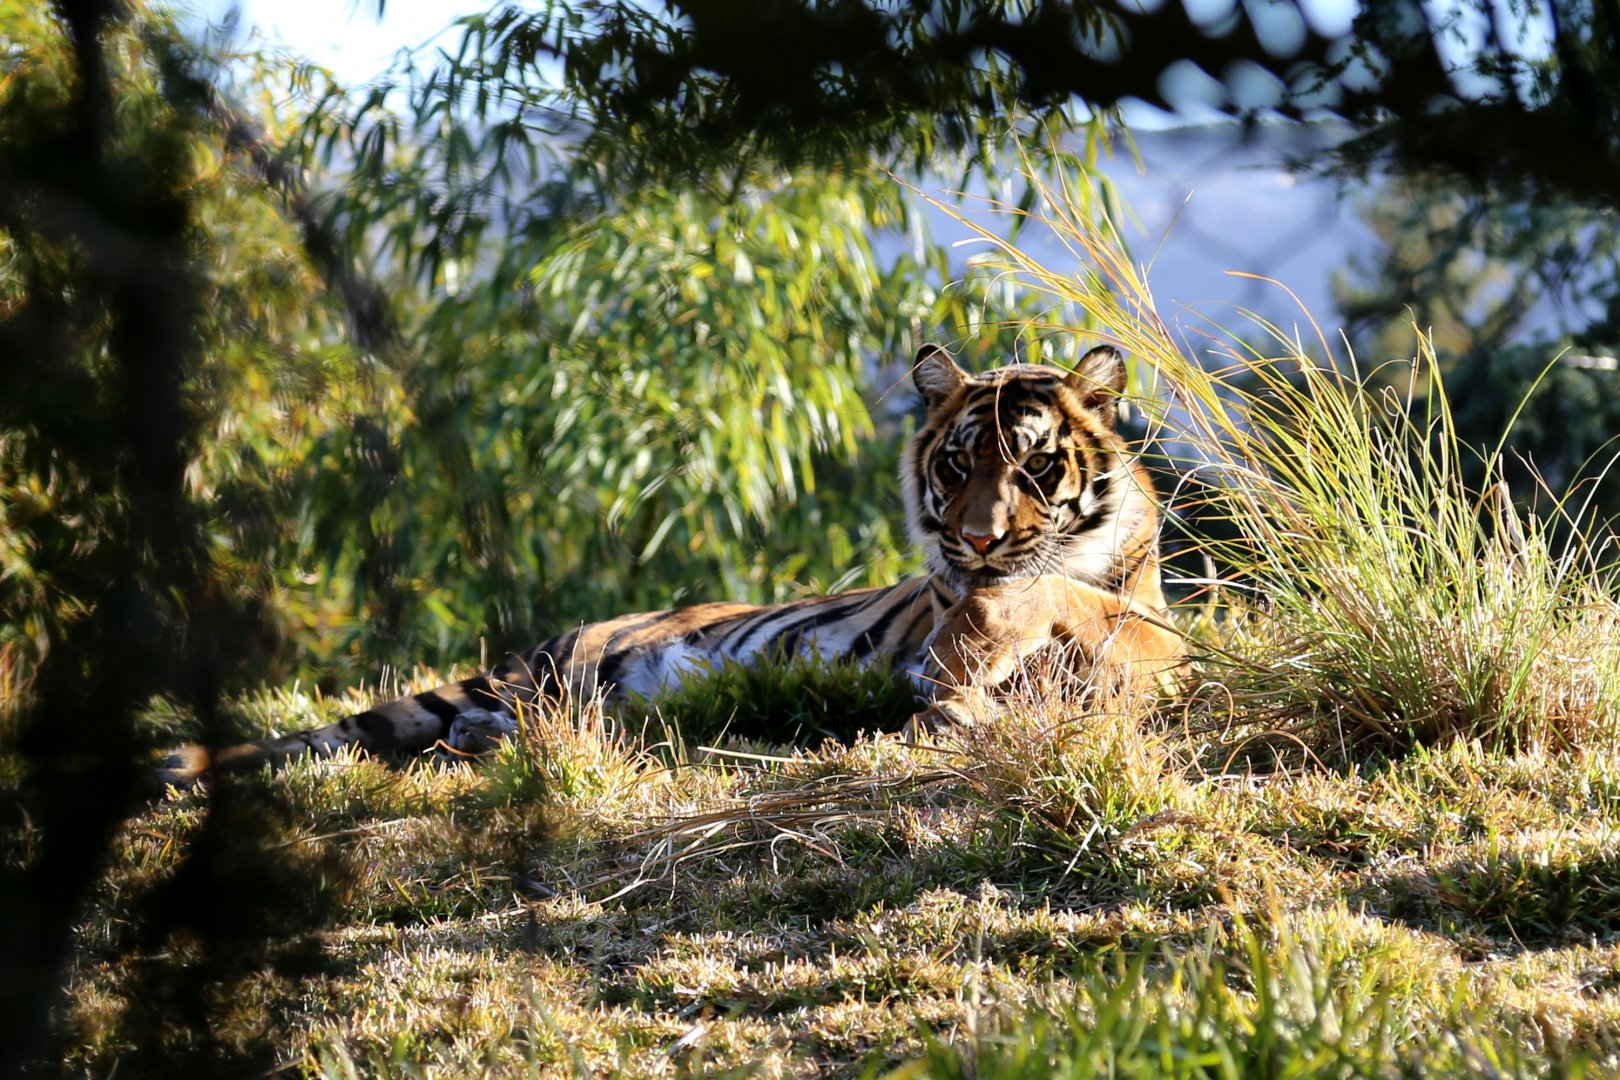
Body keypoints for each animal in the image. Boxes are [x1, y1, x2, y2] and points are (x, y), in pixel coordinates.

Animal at [159, 343, 1185, 785]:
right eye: (957, 465)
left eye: (1034, 465)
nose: (974, 542)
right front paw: (960, 681)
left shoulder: (1160, 637)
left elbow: (1079, 607)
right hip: (535, 673)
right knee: (340, 732)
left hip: (604, 707)